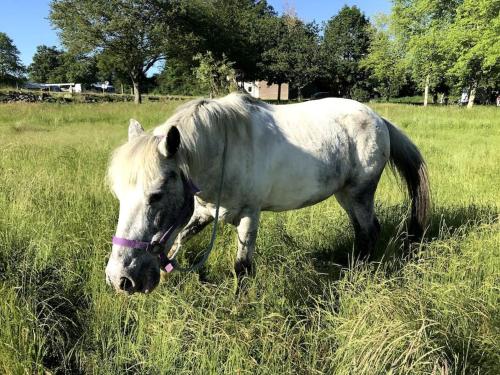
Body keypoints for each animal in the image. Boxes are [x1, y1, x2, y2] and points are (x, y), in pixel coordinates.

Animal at [105, 93, 430, 294]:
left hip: (360, 193)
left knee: (369, 231)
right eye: (119, 195)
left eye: (157, 194)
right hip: (345, 195)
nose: (120, 279)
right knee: (364, 231)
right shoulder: (203, 212)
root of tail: (378, 118)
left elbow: (242, 266)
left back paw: (359, 274)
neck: (223, 151)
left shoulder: (250, 215)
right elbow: (180, 241)